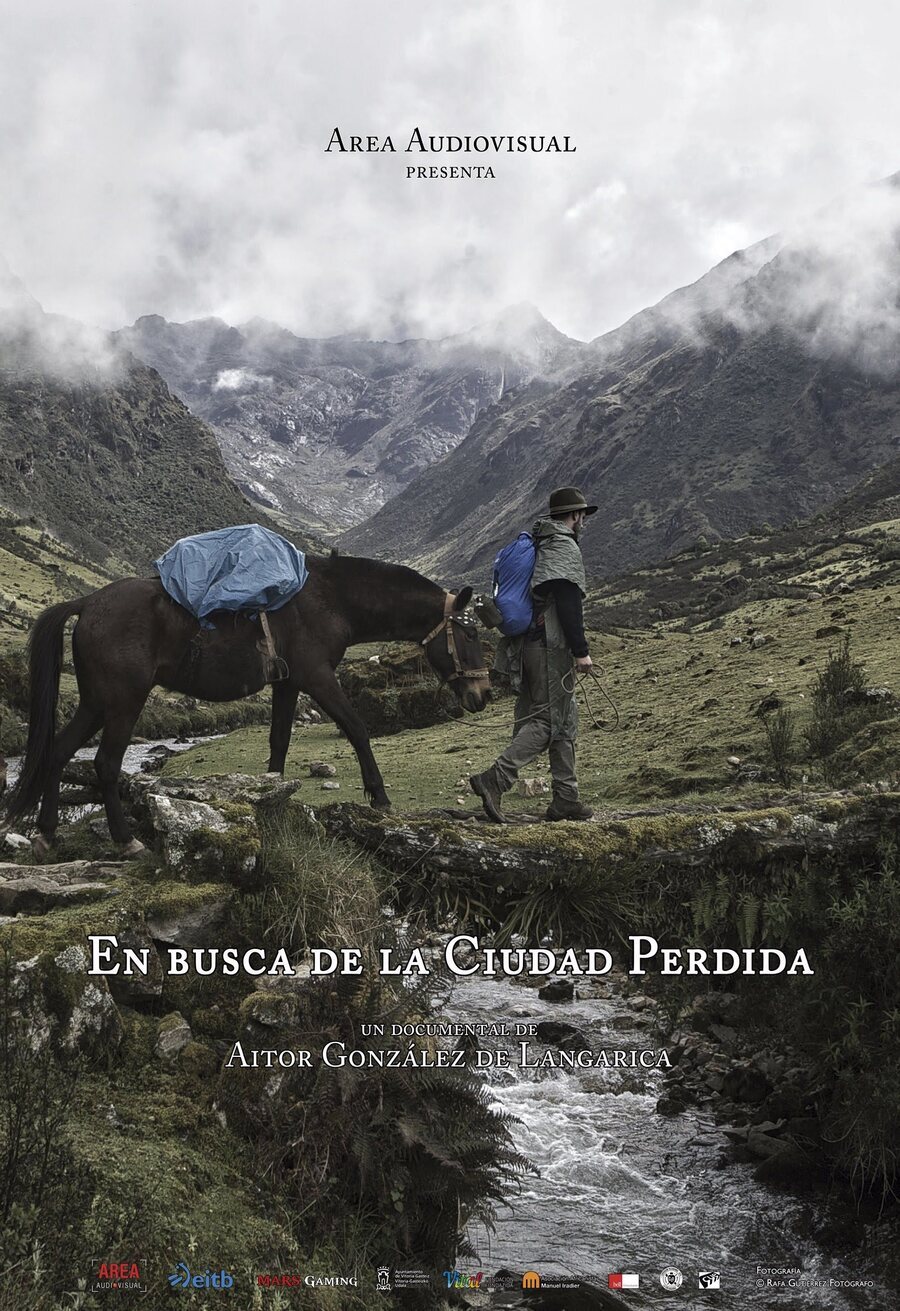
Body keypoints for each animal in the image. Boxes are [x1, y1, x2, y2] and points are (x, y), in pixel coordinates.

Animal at [3, 555, 490, 854]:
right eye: (470, 633)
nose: (482, 695)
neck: (332, 599)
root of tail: (87, 602)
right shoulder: (317, 677)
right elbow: (356, 727)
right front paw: (380, 797)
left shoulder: (288, 685)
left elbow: (279, 742)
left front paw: (270, 801)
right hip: (123, 702)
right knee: (104, 763)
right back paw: (126, 841)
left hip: (95, 702)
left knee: (59, 751)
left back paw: (46, 835)